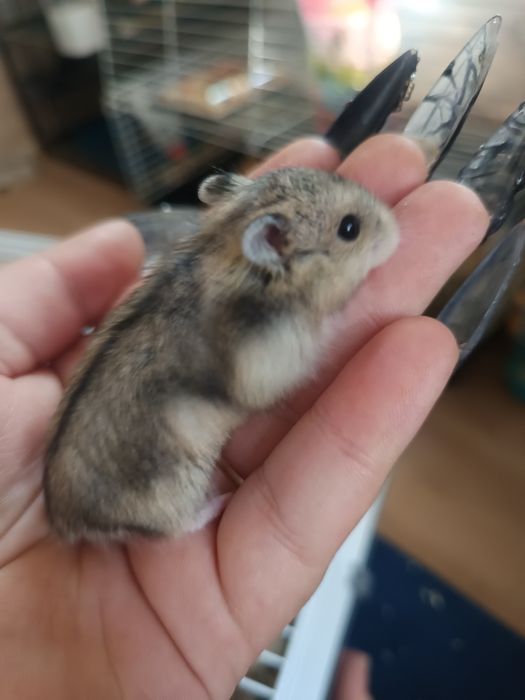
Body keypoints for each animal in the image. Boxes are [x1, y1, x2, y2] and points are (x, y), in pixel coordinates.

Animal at [43, 168, 399, 542]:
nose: (397, 231)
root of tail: (64, 524)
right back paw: (221, 500)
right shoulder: (266, 363)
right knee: (177, 528)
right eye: (349, 228)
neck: (238, 258)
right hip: (174, 490)